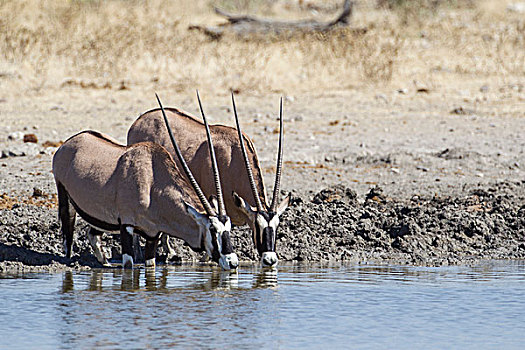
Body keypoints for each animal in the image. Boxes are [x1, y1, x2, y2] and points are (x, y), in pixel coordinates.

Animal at [51, 94, 237, 270]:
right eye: (212, 229)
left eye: (228, 228)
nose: (233, 263)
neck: (152, 184)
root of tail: (68, 143)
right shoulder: (126, 226)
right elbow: (128, 265)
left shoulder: (152, 235)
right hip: (65, 198)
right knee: (68, 233)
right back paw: (68, 260)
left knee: (92, 234)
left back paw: (105, 262)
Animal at [128, 91, 290, 266]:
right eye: (257, 225)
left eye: (277, 225)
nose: (270, 260)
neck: (232, 158)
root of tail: (139, 121)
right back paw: (144, 253)